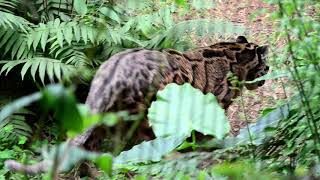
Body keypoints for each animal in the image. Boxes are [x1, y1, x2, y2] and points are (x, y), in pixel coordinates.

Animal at [71, 35, 268, 148]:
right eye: (267, 67)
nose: (266, 77)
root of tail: (111, 69)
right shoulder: (214, 104)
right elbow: (208, 131)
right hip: (147, 119)